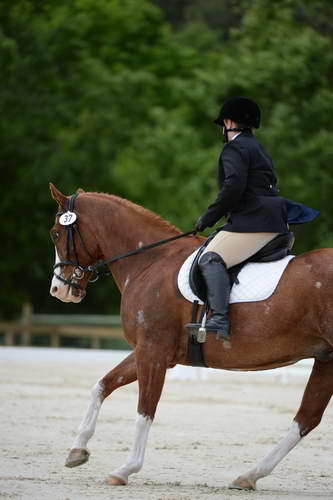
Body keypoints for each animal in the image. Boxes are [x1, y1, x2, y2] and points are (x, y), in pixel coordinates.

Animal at [48, 183, 332, 488]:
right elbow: (101, 386)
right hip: (326, 359)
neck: (149, 262)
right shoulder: (151, 351)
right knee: (306, 419)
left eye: (55, 232)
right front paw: (77, 450)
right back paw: (249, 476)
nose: (58, 289)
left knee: (306, 418)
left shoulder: (153, 351)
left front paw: (126, 468)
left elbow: (144, 410)